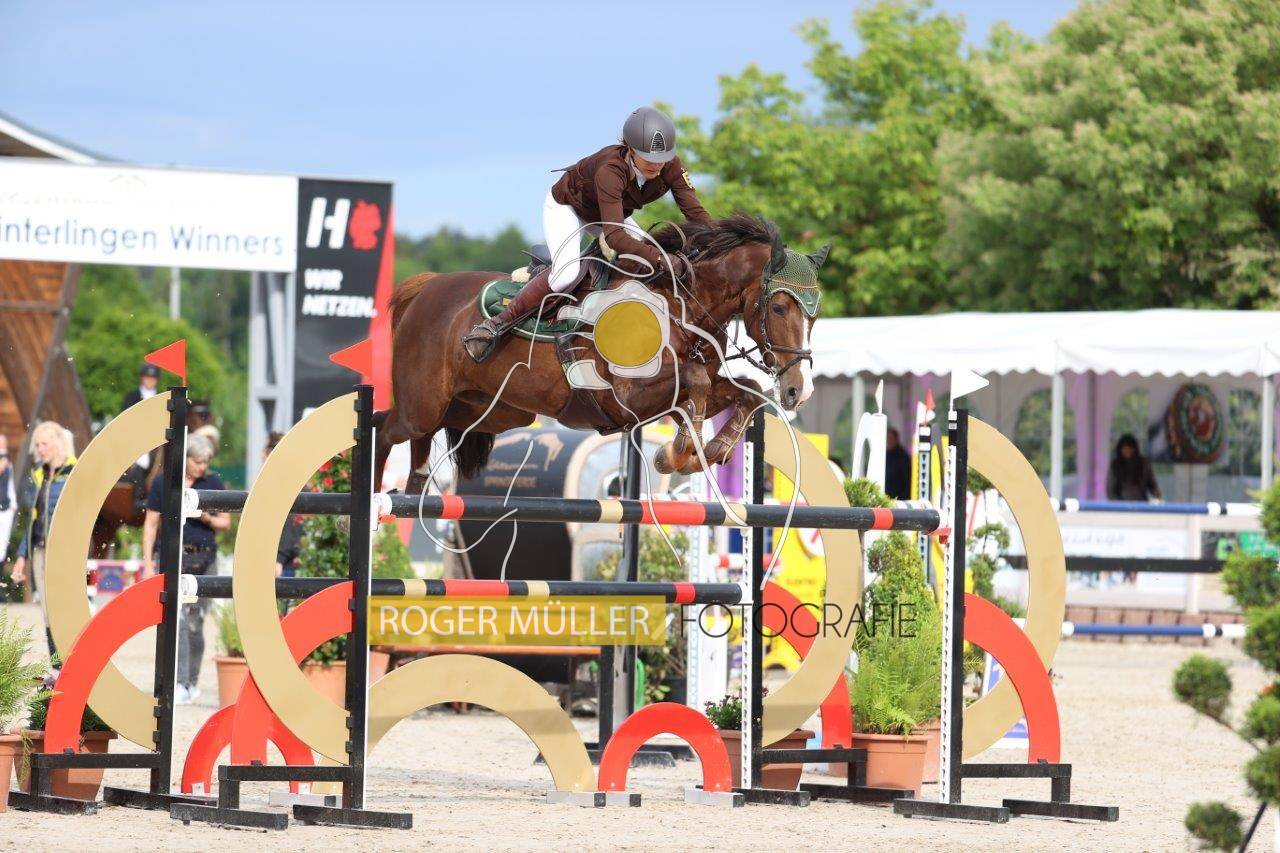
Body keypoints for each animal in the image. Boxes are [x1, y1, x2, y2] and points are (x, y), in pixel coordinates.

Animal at [373, 215, 828, 492]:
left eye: (816, 313)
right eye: (779, 307)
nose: (799, 391)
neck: (678, 305)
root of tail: (427, 287)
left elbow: (749, 391)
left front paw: (709, 451)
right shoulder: (625, 397)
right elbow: (698, 381)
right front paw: (677, 452)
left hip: (489, 411)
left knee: (423, 440)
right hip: (423, 404)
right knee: (385, 426)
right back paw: (375, 505)